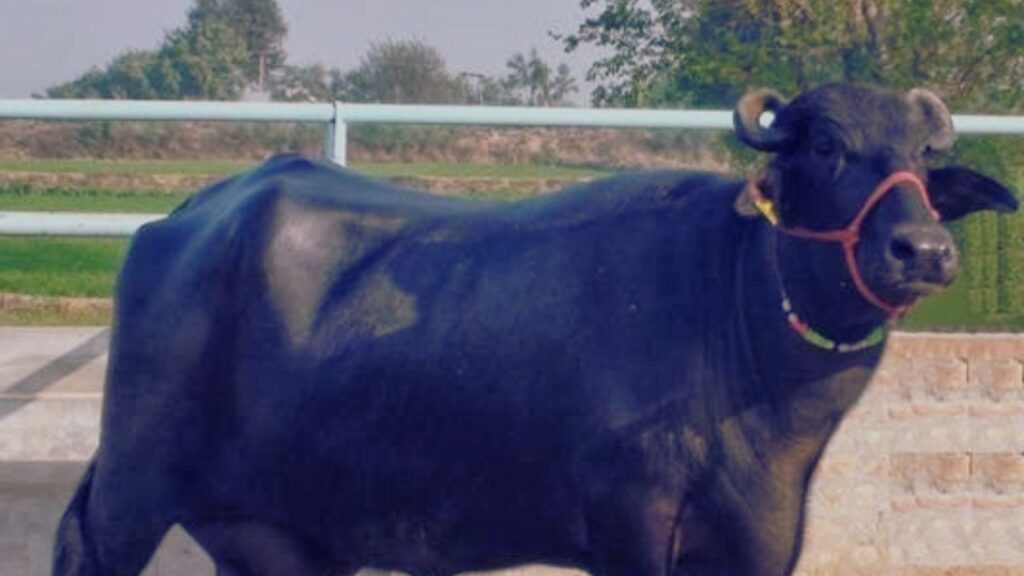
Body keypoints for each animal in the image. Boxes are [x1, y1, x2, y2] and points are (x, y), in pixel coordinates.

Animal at [55, 84, 1017, 576]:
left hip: (281, 538)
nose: (922, 250)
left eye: (926, 158)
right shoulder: (632, 534)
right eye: (825, 146)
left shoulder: (758, 548)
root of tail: (196, 212)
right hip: (131, 492)